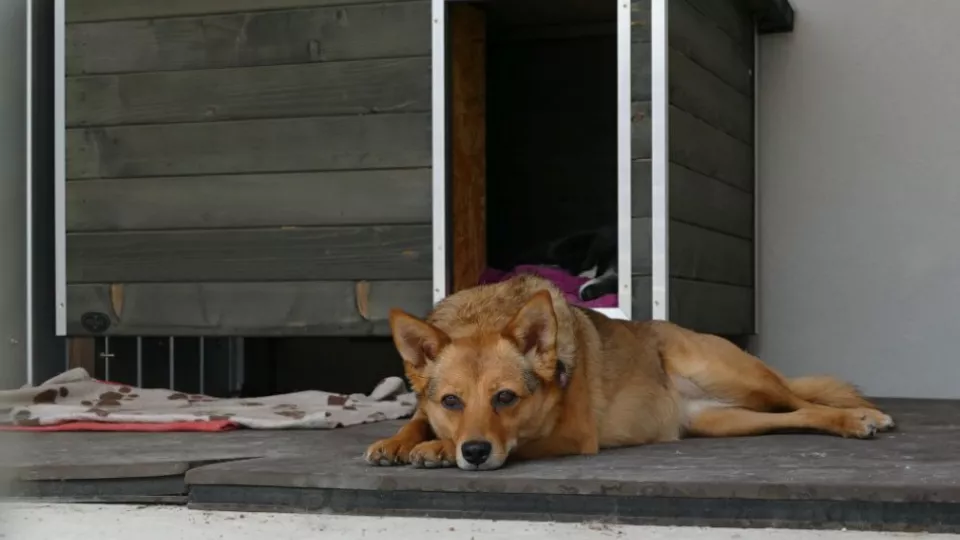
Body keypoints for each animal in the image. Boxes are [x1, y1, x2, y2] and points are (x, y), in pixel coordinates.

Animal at [364, 274, 896, 468]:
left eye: (506, 397)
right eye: (451, 400)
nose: (473, 452)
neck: (485, 315)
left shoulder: (573, 435)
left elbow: (517, 439)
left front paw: (435, 448)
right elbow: (416, 418)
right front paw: (399, 440)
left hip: (731, 375)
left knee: (802, 398)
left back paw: (863, 417)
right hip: (721, 420)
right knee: (794, 416)